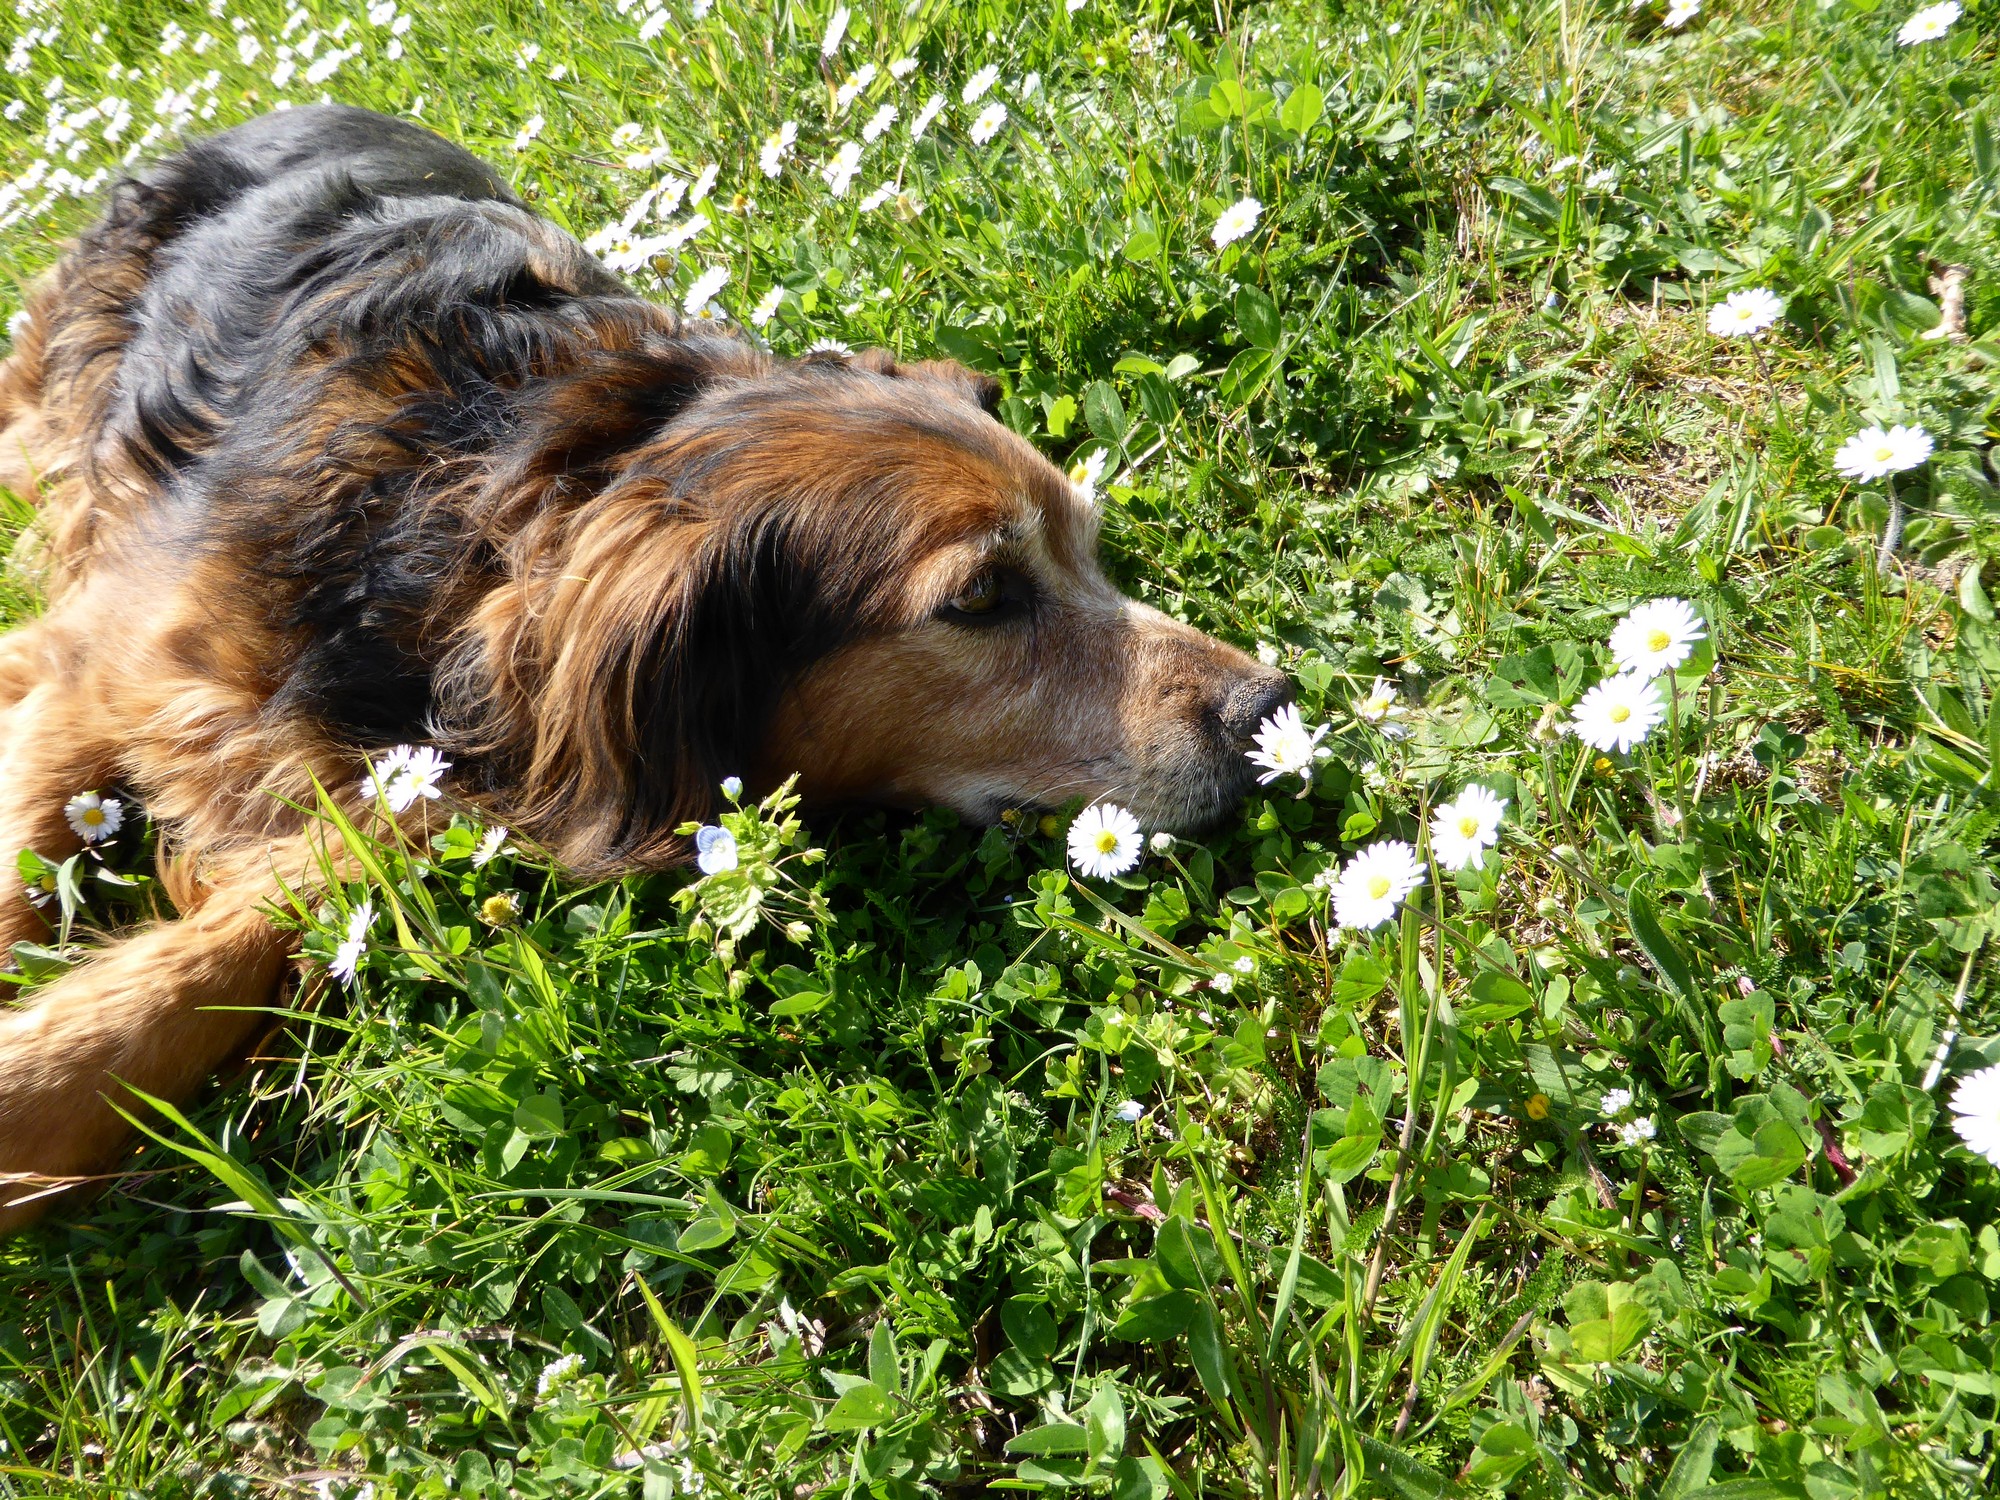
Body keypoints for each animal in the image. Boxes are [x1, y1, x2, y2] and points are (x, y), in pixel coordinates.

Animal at [0, 108, 1280, 1232]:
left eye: (1091, 547)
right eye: (977, 598)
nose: (1271, 706)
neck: (499, 493)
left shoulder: (453, 776)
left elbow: (297, 891)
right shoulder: (102, 665)